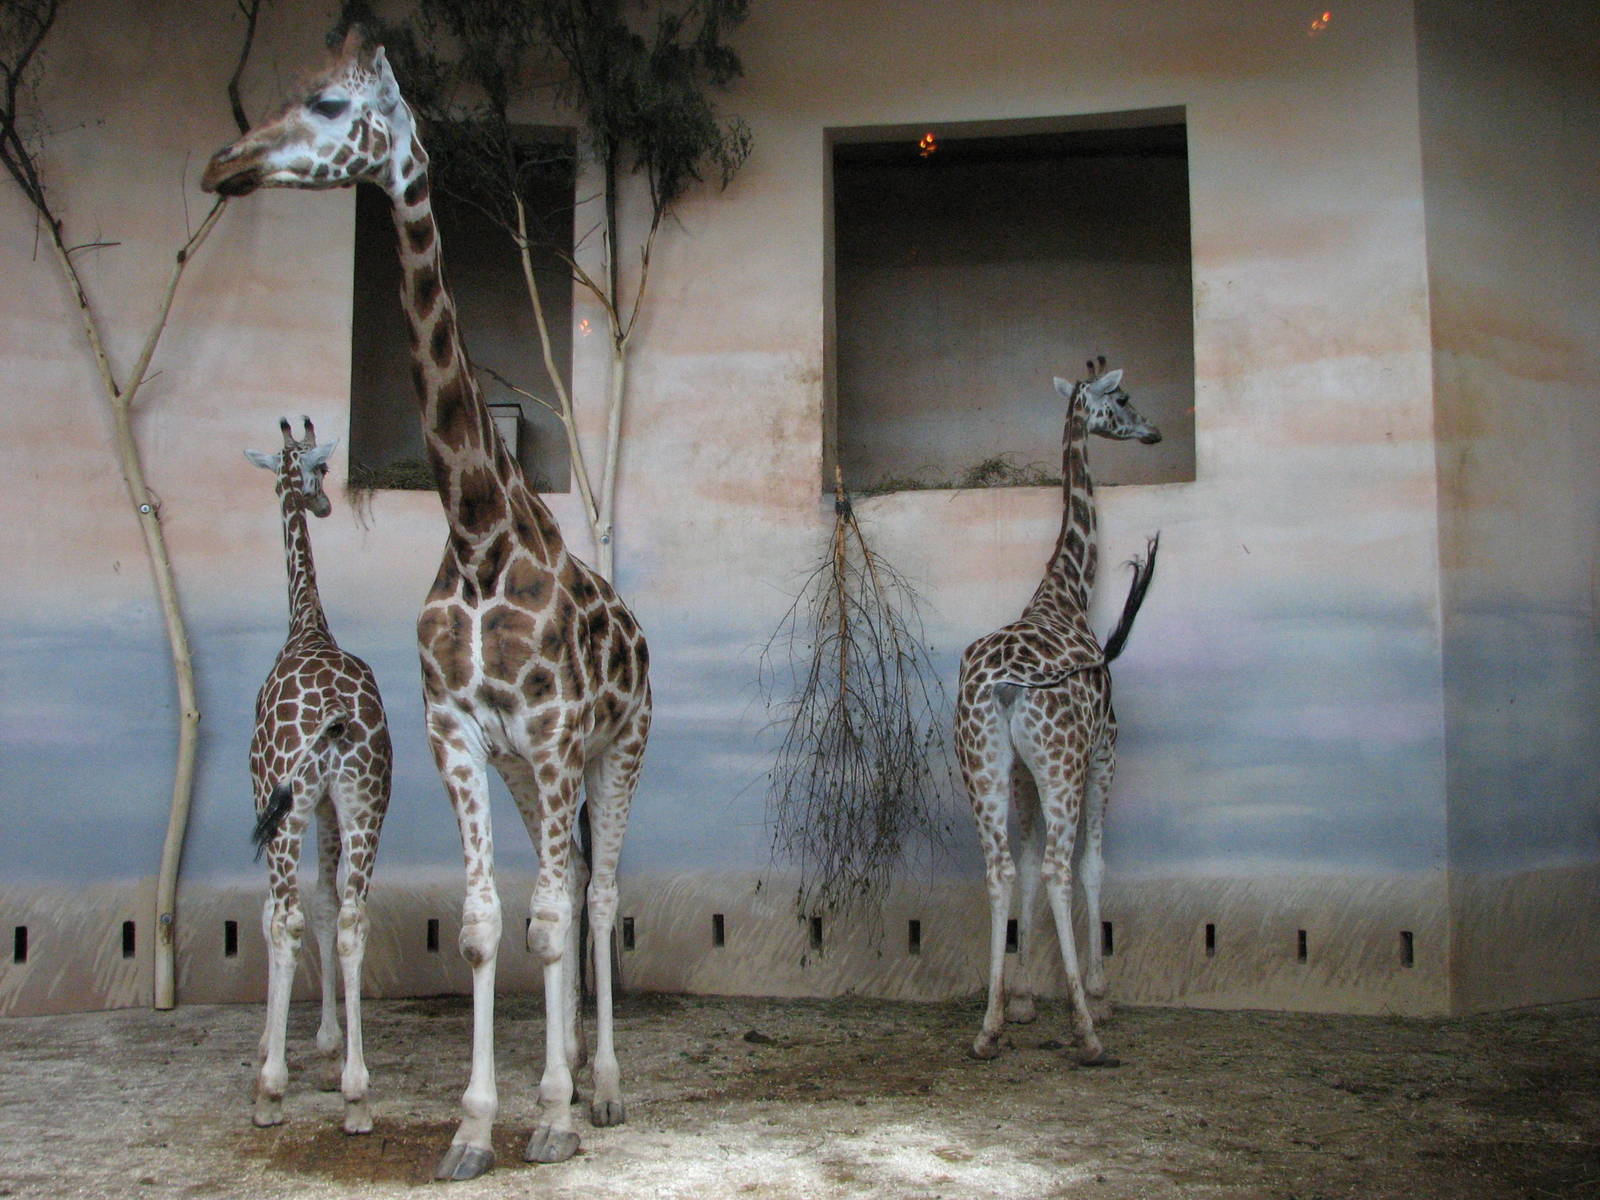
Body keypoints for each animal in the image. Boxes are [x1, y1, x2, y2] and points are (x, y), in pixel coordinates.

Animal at [204, 29, 652, 1181]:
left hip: (618, 747)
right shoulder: (460, 733)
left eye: (327, 103)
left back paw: (604, 1087)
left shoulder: (556, 736)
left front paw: (549, 1116)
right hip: (526, 772)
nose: (225, 162)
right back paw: (569, 1072)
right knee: (559, 885)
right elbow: (492, 921)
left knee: (599, 896)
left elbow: (558, 915)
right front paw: (477, 1125)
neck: (481, 531)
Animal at [954, 360, 1160, 1065]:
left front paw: (1019, 1000)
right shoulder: (1105, 750)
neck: (1068, 592)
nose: (1153, 431)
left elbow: (1019, 874)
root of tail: (1006, 684)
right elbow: (1091, 866)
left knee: (999, 871)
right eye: (1123, 399)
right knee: (1058, 868)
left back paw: (987, 1029)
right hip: (1065, 764)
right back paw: (1087, 1031)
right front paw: (1099, 992)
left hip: (982, 767)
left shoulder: (1020, 773)